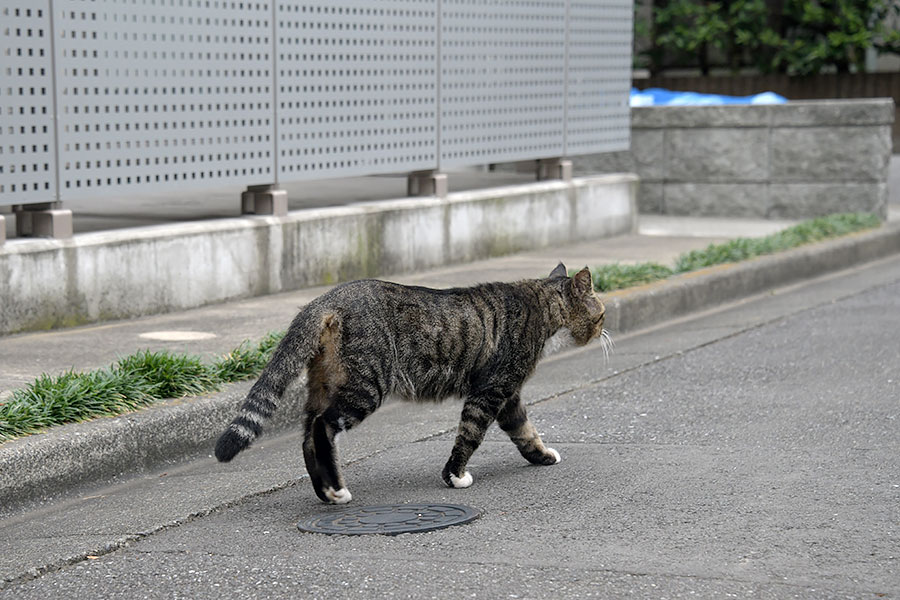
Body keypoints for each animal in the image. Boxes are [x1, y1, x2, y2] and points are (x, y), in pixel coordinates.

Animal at [215, 264, 608, 504]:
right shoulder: (491, 390)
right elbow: (471, 434)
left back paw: (327, 492)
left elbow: (525, 431)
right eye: (602, 314)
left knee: (308, 435)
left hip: (324, 386)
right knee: (322, 428)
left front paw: (541, 456)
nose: (604, 330)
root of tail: (326, 299)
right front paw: (454, 476)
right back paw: (336, 490)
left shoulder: (508, 395)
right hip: (365, 387)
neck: (540, 303)